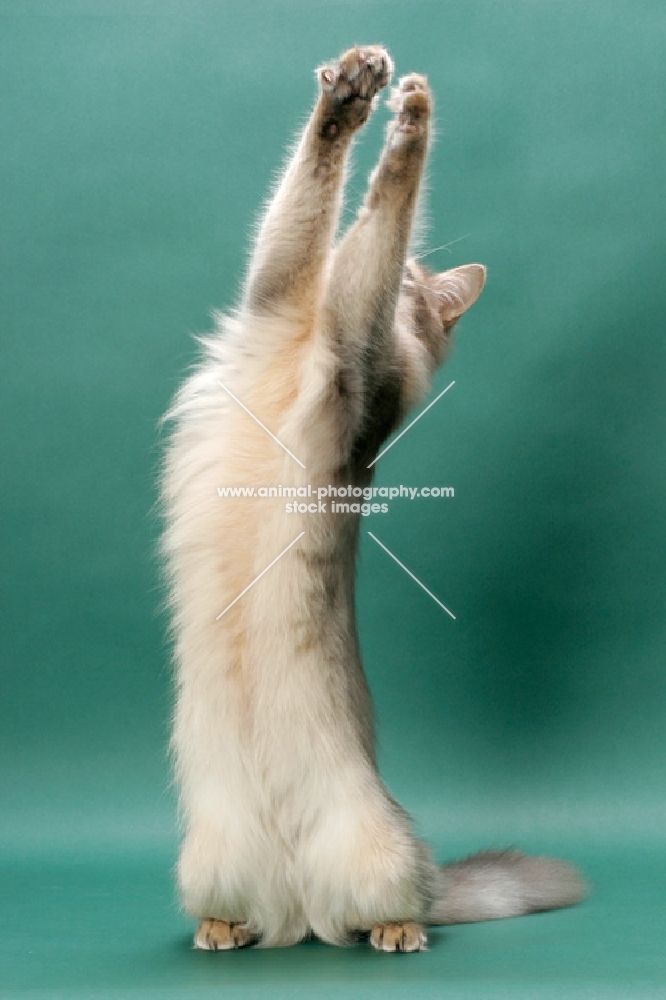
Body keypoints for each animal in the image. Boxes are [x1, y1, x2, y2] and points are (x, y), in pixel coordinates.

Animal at [162, 45, 588, 952]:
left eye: (417, 289)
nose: (417, 283)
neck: (303, 342)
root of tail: (296, 909)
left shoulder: (349, 365)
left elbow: (375, 222)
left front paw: (411, 126)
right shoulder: (278, 293)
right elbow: (311, 203)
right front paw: (352, 94)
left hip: (376, 846)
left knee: (387, 909)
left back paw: (395, 932)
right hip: (208, 854)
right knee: (254, 911)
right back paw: (224, 928)